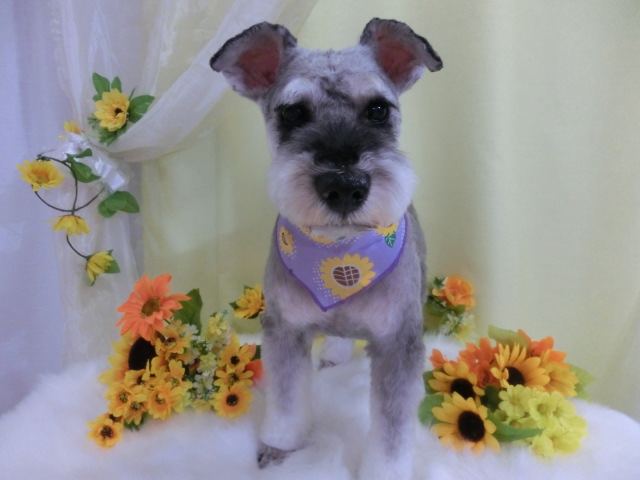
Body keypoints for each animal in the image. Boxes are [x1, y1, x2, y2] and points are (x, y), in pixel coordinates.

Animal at [210, 18, 442, 479]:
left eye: (378, 110)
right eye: (293, 113)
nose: (344, 186)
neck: (337, 253)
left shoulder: (398, 345)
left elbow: (391, 432)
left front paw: (384, 470)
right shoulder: (285, 330)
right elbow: (286, 402)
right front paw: (278, 448)